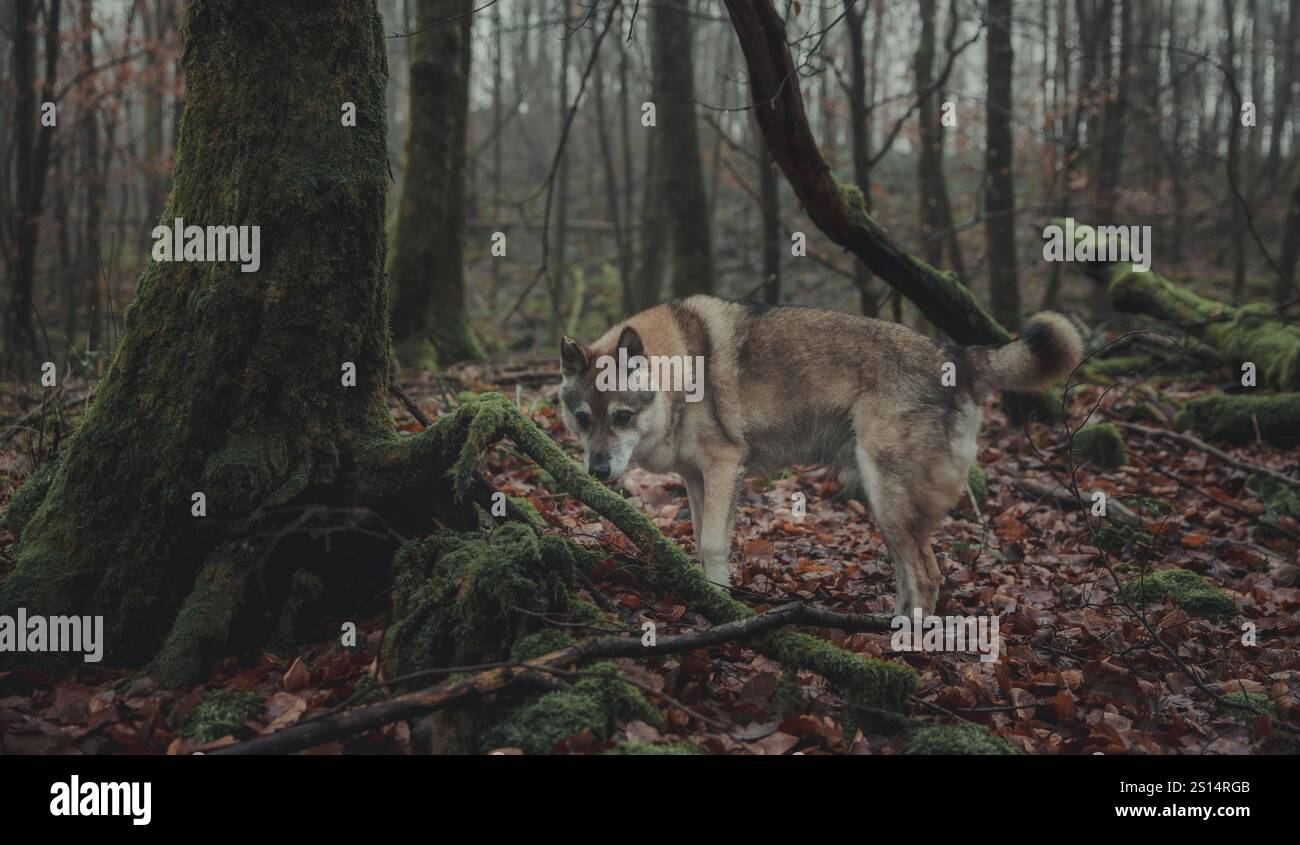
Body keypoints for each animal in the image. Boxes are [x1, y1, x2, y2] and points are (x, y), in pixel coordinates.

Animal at [553, 295, 1081, 611]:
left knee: (928, 577)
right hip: (882, 504)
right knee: (908, 575)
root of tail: (956, 355)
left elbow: (712, 544)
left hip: (888, 497)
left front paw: (723, 610)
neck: (680, 368)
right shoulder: (696, 479)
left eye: (622, 416)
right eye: (584, 419)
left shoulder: (724, 467)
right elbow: (702, 542)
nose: (598, 471)